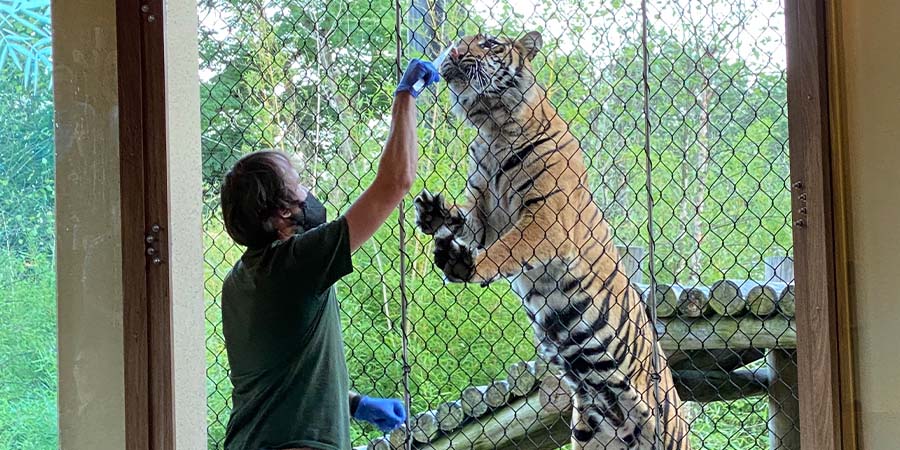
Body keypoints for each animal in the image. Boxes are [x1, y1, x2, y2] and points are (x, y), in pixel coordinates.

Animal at [414, 31, 691, 450]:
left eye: (489, 43)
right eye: (462, 40)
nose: (455, 52)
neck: (492, 127)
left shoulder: (545, 219)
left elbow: (507, 249)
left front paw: (466, 264)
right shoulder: (484, 217)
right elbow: (465, 222)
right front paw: (434, 213)